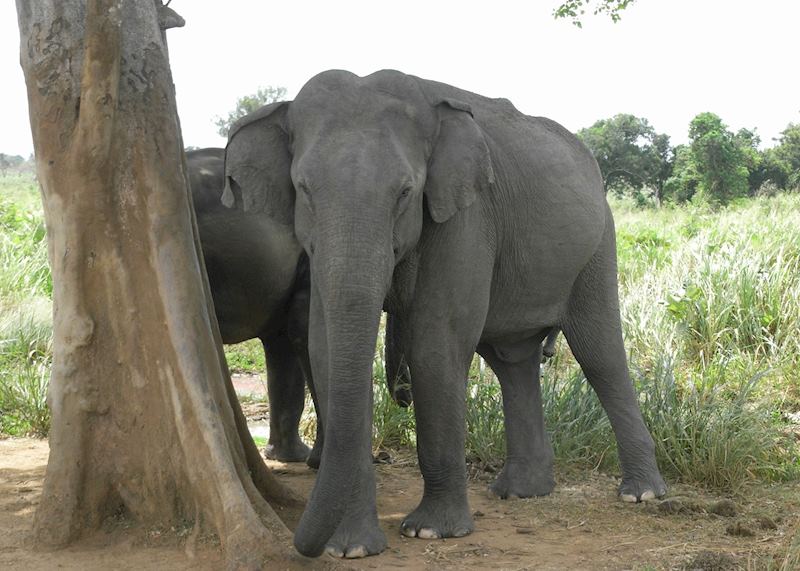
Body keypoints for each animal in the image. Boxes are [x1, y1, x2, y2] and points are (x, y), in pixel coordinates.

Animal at [222, 69, 667, 559]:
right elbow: (324, 347)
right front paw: (351, 549)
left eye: (405, 192)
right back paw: (520, 491)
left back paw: (642, 493)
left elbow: (435, 344)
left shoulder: (465, 217)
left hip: (598, 244)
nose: (301, 546)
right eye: (303, 189)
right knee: (512, 361)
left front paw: (431, 531)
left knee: (599, 354)